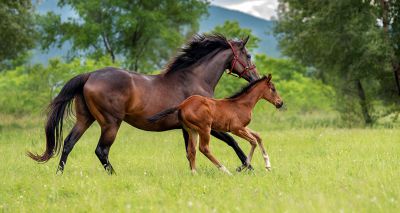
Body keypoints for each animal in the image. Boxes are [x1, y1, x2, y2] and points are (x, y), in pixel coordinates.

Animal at [27, 34, 260, 174]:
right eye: (248, 55)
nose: (255, 78)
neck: (195, 79)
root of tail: (90, 75)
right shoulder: (207, 126)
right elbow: (233, 141)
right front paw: (247, 167)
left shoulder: (187, 128)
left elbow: (190, 152)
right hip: (110, 123)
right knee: (101, 150)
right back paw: (114, 175)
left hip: (85, 119)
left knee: (68, 143)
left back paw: (59, 174)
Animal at [148, 75, 282, 175]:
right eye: (273, 89)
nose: (280, 103)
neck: (242, 104)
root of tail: (182, 105)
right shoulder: (236, 129)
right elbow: (253, 141)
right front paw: (242, 166)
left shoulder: (242, 127)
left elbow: (258, 136)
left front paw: (268, 165)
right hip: (204, 129)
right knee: (204, 148)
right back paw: (225, 170)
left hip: (192, 130)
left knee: (191, 150)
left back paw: (194, 173)